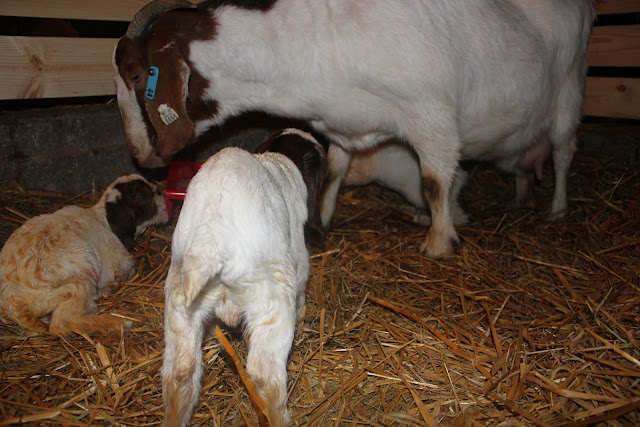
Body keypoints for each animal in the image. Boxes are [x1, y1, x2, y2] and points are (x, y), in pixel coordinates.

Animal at [0, 175, 168, 337]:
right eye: (144, 195)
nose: (161, 192)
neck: (102, 219)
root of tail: (12, 299)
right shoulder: (120, 266)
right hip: (82, 274)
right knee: (62, 323)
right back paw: (125, 322)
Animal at [113, 0, 595, 257]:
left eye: (137, 75)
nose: (139, 154)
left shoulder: (431, 114)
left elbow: (436, 181)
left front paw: (439, 242)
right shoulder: (341, 127)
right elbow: (332, 175)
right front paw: (323, 219)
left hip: (570, 94)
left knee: (564, 154)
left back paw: (557, 209)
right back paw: (522, 197)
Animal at [161, 128, 325, 426]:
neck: (280, 159)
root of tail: (211, 238)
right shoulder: (298, 255)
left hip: (179, 301)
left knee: (180, 372)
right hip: (271, 298)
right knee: (264, 374)